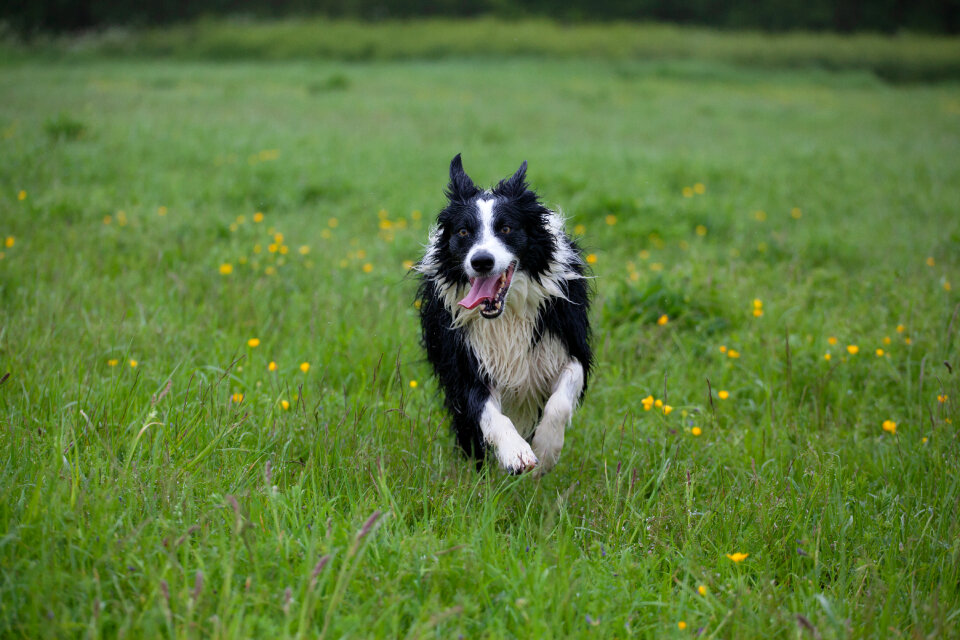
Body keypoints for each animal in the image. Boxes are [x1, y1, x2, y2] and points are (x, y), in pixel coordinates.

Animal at [418, 155, 592, 476]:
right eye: (463, 232)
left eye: (506, 229)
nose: (481, 261)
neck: (505, 315)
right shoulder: (465, 361)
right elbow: (487, 412)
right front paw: (516, 452)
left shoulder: (570, 345)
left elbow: (561, 399)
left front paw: (546, 450)